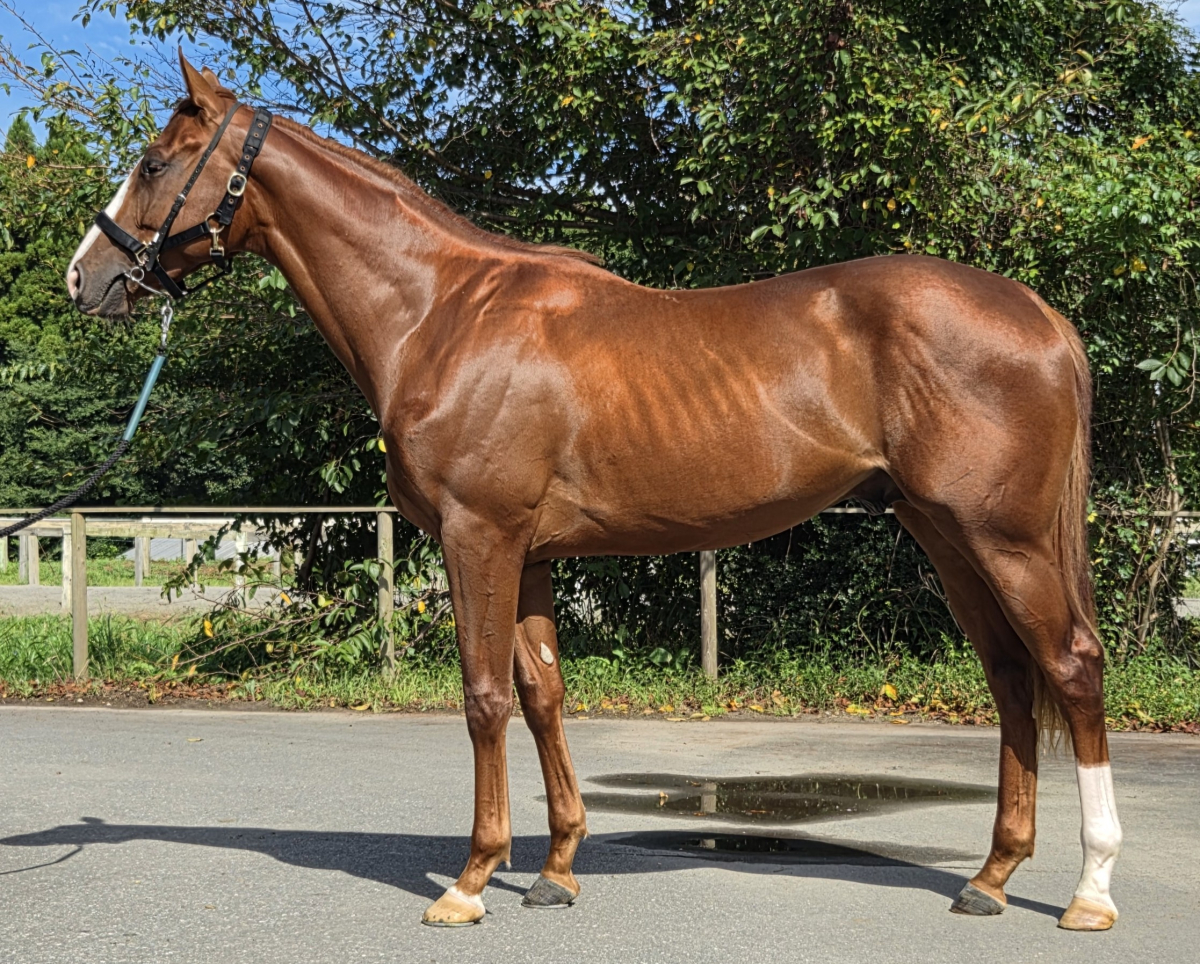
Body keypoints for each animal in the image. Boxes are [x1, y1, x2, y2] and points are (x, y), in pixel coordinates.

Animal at [66, 52, 1122, 931]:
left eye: (155, 164)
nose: (87, 277)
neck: (441, 313)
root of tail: (1040, 316)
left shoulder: (478, 536)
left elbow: (485, 697)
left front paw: (470, 882)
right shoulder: (530, 554)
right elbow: (543, 695)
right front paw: (555, 871)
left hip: (1005, 538)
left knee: (1069, 667)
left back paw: (1089, 892)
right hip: (947, 537)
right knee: (1012, 680)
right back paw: (991, 879)